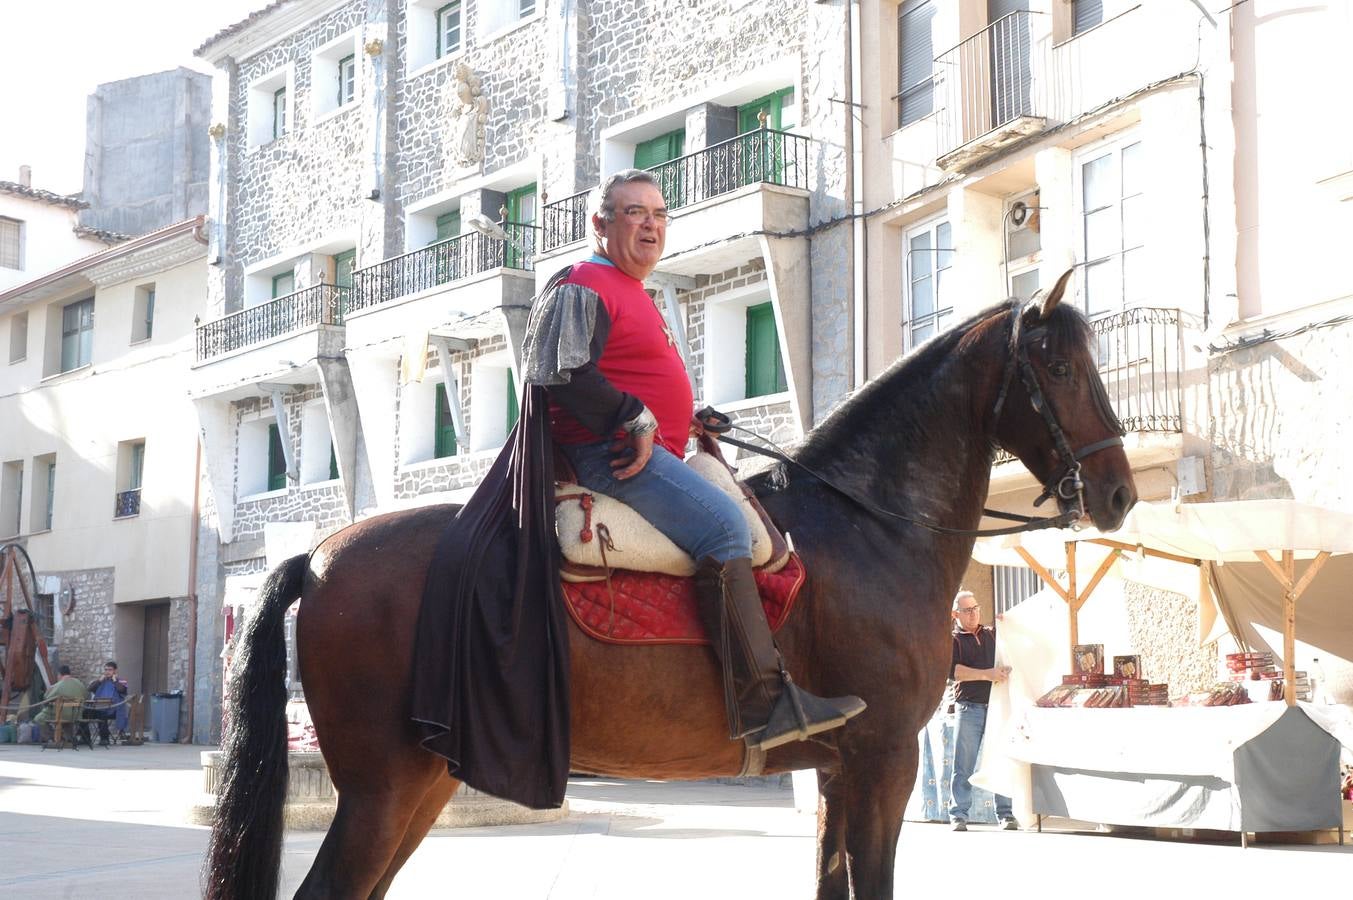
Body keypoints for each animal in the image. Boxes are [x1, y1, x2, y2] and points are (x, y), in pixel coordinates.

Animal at [202, 277, 1131, 893]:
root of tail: (321, 555)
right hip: (382, 787)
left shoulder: (841, 772)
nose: (1117, 490)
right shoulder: (885, 759)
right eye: (1056, 367)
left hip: (425, 780)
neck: (868, 522)